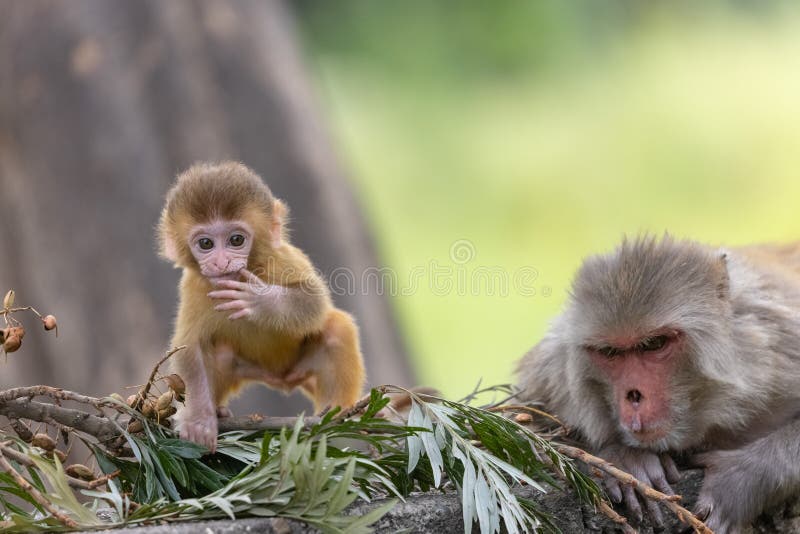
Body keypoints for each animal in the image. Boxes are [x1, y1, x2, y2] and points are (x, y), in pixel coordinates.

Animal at [158, 161, 365, 453]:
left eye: (236, 240)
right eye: (206, 244)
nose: (221, 262)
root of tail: (282, 377)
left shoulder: (280, 258)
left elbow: (313, 301)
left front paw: (259, 299)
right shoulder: (192, 288)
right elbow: (190, 346)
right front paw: (198, 420)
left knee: (336, 327)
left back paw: (338, 411)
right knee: (219, 352)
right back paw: (218, 410)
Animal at [516, 235, 800, 533]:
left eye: (654, 344)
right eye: (610, 352)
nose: (634, 396)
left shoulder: (784, 348)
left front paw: (738, 480)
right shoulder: (549, 378)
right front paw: (628, 460)